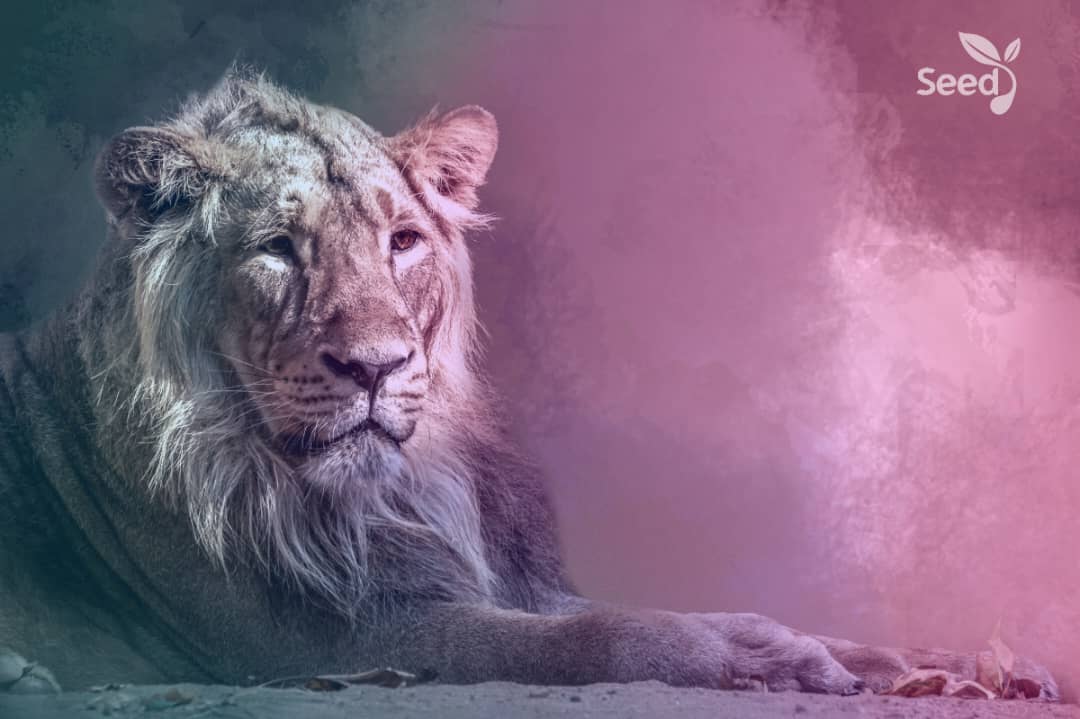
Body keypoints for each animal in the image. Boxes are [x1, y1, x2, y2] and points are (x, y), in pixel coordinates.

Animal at [0, 68, 1058, 699]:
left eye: (402, 240)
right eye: (276, 249)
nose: (375, 366)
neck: (387, 492)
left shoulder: (487, 578)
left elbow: (633, 610)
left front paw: (936, 661)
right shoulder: (307, 644)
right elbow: (583, 638)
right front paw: (751, 658)